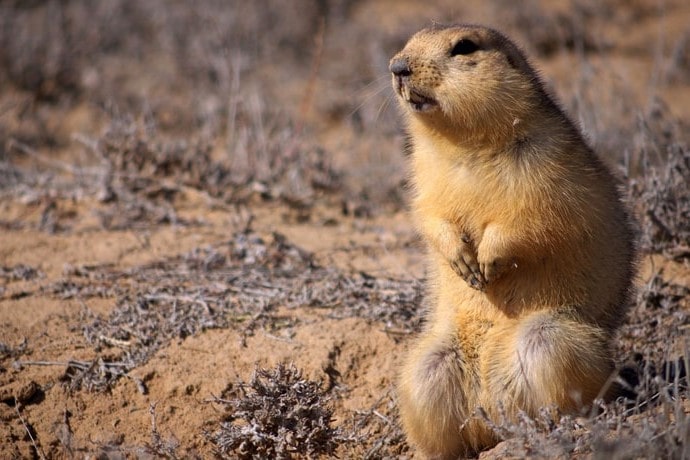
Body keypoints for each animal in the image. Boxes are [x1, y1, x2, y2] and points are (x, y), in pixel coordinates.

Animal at [388, 24, 636, 456]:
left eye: (464, 47)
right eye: (410, 39)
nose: (397, 66)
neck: (463, 145)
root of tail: (491, 415)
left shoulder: (547, 167)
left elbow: (533, 218)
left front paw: (487, 261)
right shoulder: (423, 174)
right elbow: (428, 215)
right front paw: (462, 260)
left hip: (551, 339)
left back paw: (562, 426)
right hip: (426, 369)